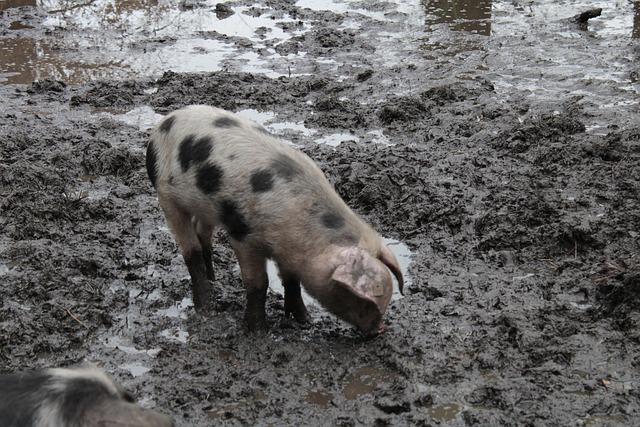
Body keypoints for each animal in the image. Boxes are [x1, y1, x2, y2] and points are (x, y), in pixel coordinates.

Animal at [148, 104, 402, 338]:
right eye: (363, 300)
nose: (381, 329)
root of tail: (164, 122)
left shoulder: (287, 249)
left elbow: (292, 281)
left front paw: (305, 321)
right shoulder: (243, 237)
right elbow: (259, 284)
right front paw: (259, 332)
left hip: (206, 206)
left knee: (203, 237)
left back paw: (213, 279)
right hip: (166, 196)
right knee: (190, 250)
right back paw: (206, 307)